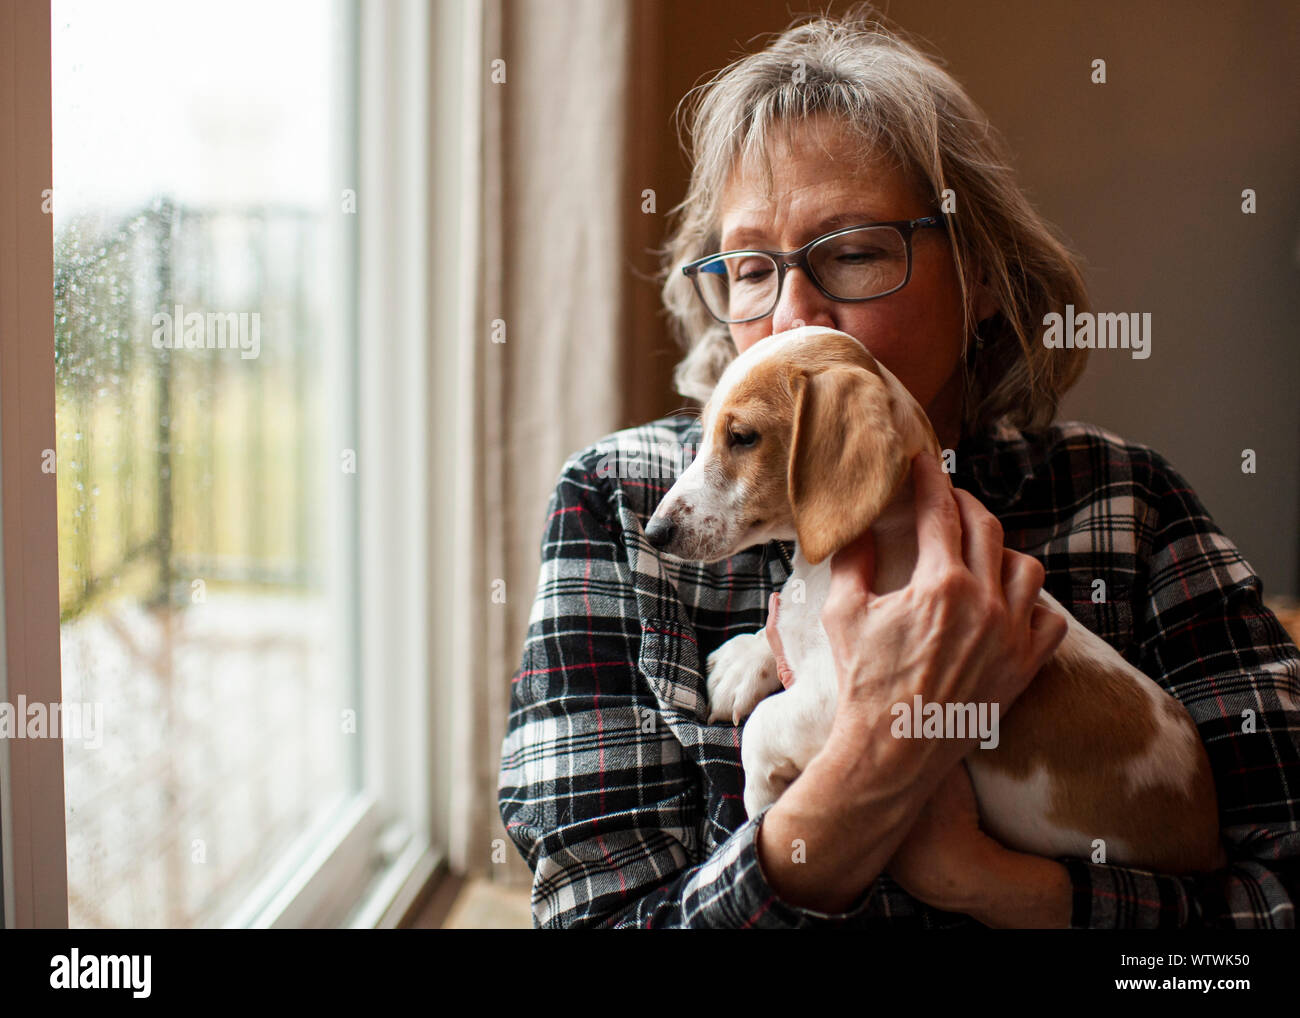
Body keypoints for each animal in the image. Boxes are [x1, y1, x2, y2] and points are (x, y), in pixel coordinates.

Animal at [644, 326, 1222, 873]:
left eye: (742, 437)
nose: (654, 532)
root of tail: (1209, 829)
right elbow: (782, 623)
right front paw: (743, 662)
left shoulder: (856, 697)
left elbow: (763, 725)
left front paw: (763, 797)